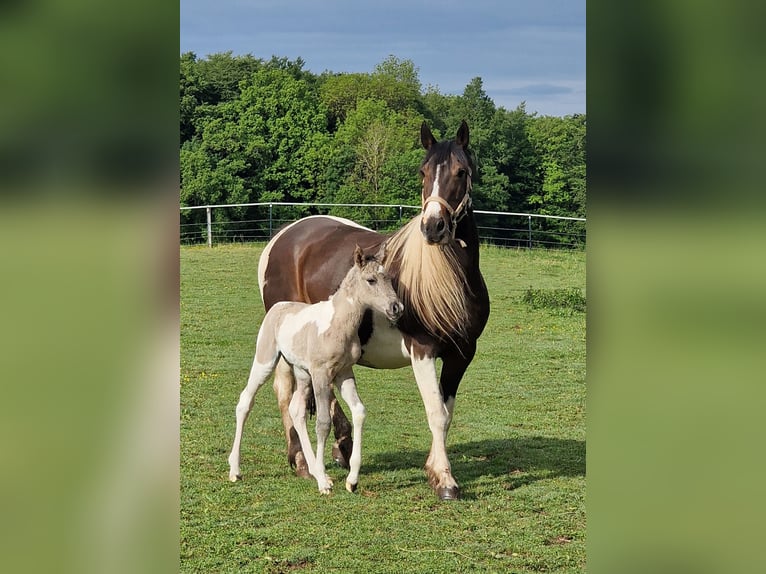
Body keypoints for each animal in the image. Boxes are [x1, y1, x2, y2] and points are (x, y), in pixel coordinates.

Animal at [228, 245, 403, 494]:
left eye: (388, 278)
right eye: (370, 280)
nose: (396, 308)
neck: (339, 324)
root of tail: (278, 306)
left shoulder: (344, 373)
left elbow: (359, 411)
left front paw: (351, 480)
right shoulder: (322, 374)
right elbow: (322, 423)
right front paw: (323, 482)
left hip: (302, 373)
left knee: (296, 410)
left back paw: (312, 469)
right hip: (266, 361)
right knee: (245, 401)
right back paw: (235, 470)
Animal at [258, 120, 490, 500]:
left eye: (462, 171)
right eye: (423, 172)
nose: (433, 226)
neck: (450, 279)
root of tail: (284, 236)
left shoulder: (462, 354)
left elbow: (446, 413)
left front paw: (433, 468)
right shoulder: (423, 350)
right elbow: (436, 413)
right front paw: (445, 479)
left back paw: (343, 447)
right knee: (286, 393)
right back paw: (303, 462)